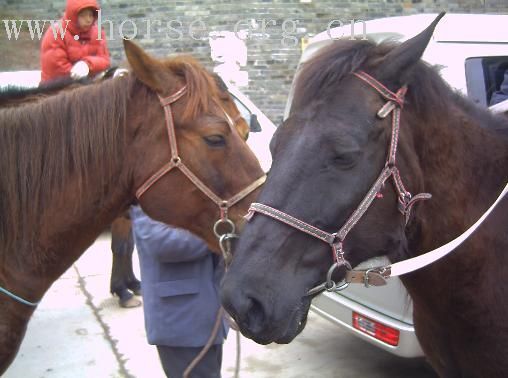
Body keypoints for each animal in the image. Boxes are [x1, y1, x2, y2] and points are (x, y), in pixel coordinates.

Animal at [1, 39, 266, 374]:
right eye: (215, 137)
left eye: (244, 131)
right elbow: (123, 245)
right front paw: (125, 289)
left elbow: (125, 245)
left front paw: (128, 285)